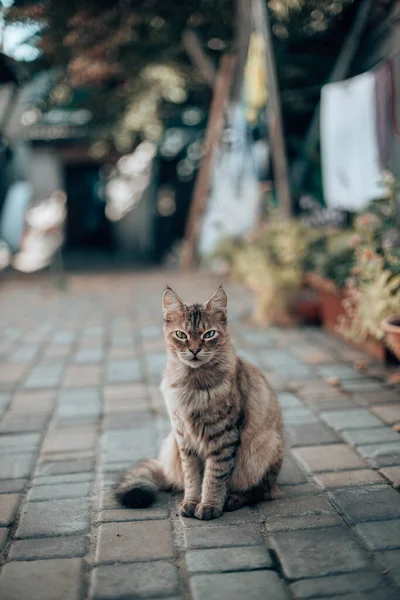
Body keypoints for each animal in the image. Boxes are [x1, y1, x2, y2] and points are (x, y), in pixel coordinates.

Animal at [115, 286, 284, 520]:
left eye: (209, 334)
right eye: (181, 334)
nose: (194, 350)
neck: (192, 385)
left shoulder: (223, 438)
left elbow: (214, 476)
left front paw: (209, 505)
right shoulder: (184, 439)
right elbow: (192, 478)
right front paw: (191, 502)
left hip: (264, 447)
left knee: (262, 491)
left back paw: (234, 499)